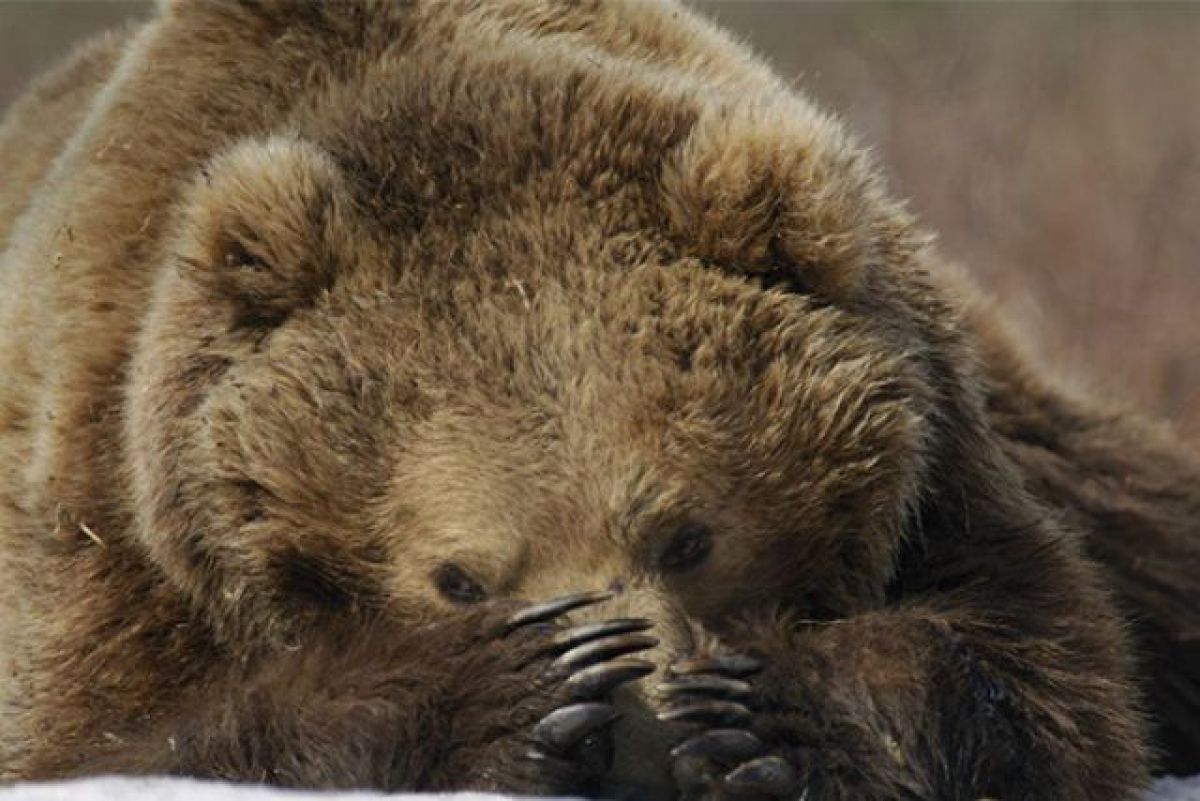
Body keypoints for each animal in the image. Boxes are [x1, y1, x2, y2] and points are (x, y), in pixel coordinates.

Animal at [0, 1, 1195, 801]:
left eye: (687, 535)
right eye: (458, 577)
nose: (641, 748)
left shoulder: (939, 455)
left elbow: (1046, 667)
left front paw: (764, 713)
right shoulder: (120, 507)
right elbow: (105, 730)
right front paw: (514, 690)